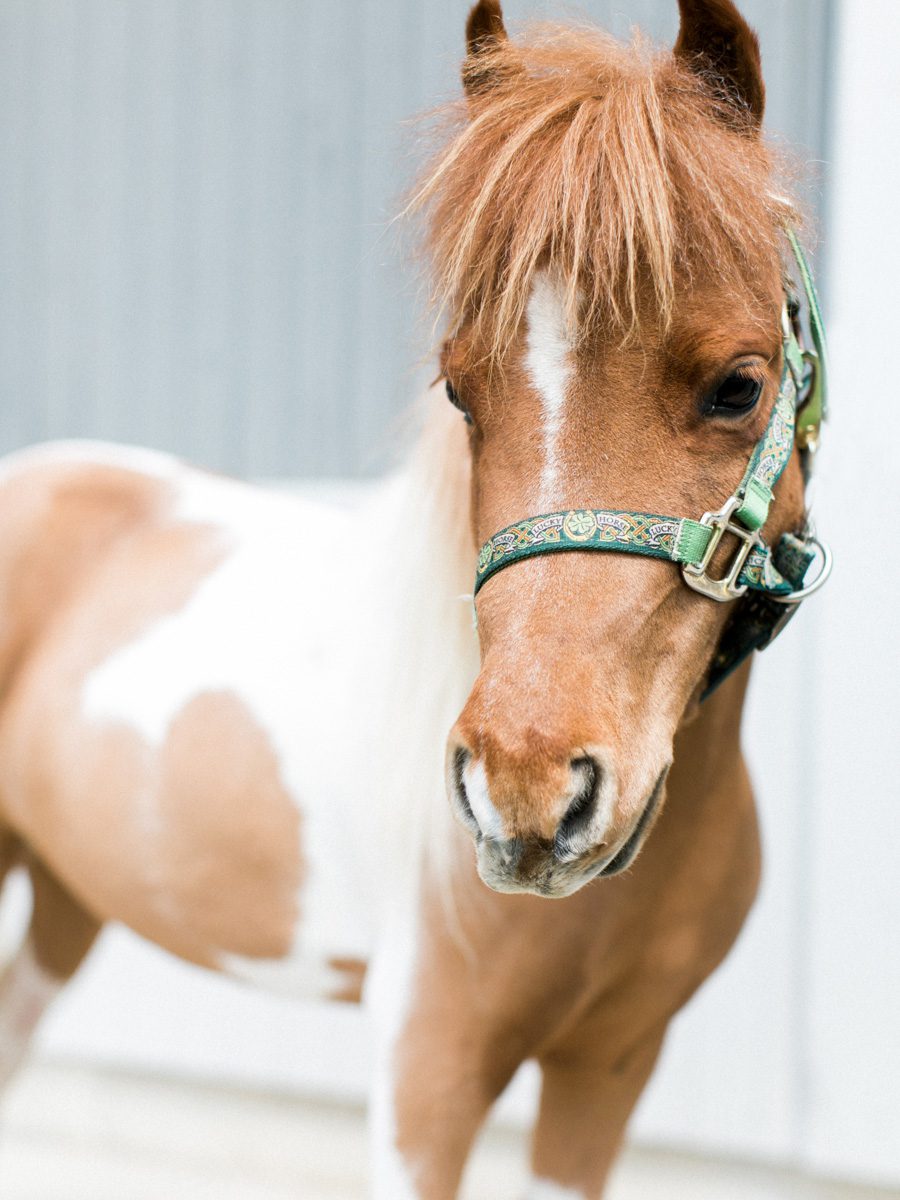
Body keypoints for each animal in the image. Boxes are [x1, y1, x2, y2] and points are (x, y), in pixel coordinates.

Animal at [0, 2, 816, 1200]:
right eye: (460, 391)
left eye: (739, 387)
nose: (526, 794)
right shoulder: (428, 1059)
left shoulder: (611, 1066)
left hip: (66, 901)